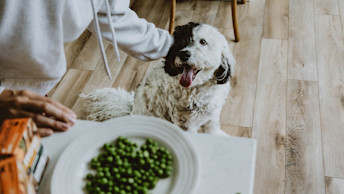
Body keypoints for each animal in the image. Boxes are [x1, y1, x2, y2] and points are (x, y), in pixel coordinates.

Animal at [82, 22, 235, 136]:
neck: (197, 89)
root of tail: (131, 111)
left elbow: (212, 128)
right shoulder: (185, 124)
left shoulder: (212, 114)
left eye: (203, 41)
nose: (183, 54)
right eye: (179, 42)